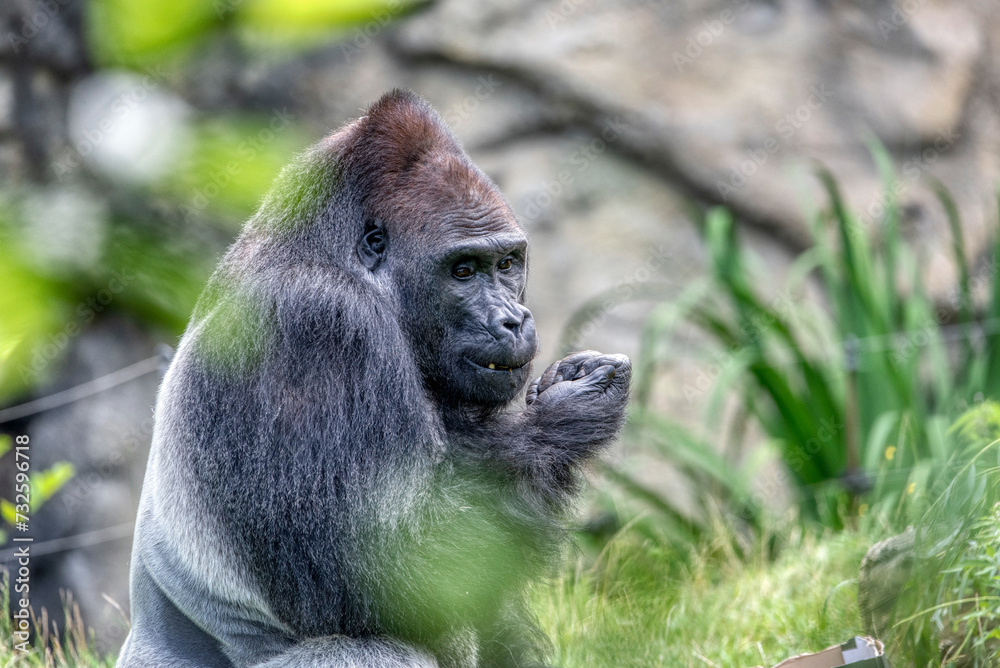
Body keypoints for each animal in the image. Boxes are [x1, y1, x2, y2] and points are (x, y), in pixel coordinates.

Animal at [115, 89, 631, 668]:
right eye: (463, 270)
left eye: (506, 263)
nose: (513, 320)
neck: (328, 250)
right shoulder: (317, 323)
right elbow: (386, 572)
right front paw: (568, 420)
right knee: (374, 649)